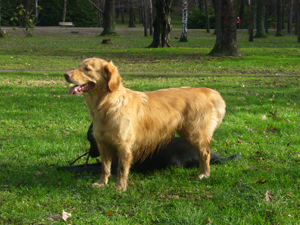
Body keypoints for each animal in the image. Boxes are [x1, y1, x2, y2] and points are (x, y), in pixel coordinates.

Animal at [64, 58, 226, 192]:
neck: (109, 104)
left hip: (194, 133)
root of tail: (204, 91)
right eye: (78, 66)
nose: (66, 74)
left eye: (87, 69)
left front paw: (120, 187)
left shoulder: (124, 146)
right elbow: (105, 167)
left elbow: (122, 169)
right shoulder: (103, 144)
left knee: (205, 153)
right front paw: (102, 183)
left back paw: (204, 174)